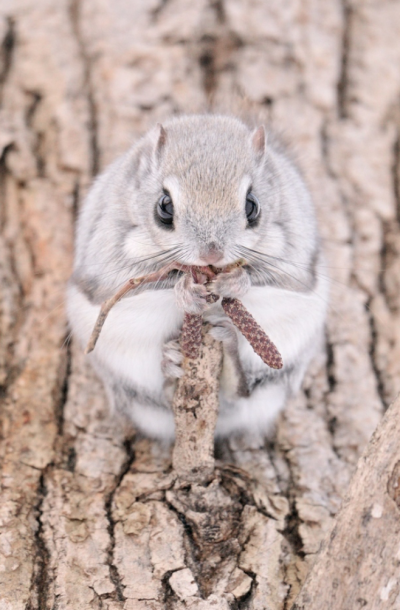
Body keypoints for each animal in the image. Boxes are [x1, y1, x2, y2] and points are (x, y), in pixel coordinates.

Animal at [66, 114, 328, 436]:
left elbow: (270, 275)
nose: (211, 254)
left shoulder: (293, 250)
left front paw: (235, 282)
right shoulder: (109, 250)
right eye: (164, 206)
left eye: (252, 205)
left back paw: (227, 348)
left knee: (242, 392)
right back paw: (170, 365)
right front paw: (185, 291)